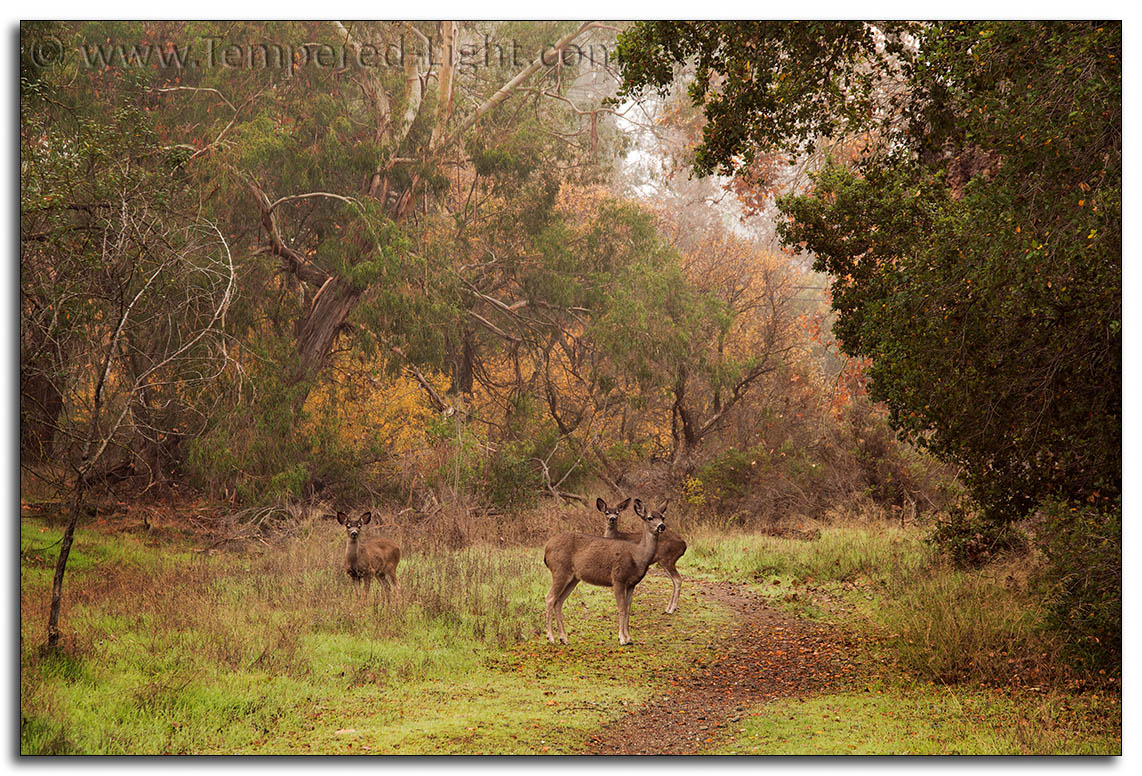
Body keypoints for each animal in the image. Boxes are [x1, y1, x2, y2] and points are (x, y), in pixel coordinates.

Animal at [541, 499, 666, 643]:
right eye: (650, 517)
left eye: (663, 517)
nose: (662, 526)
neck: (638, 556)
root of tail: (546, 548)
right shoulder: (618, 579)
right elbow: (621, 608)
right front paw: (622, 639)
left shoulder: (631, 584)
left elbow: (628, 609)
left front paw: (629, 638)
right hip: (559, 570)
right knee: (549, 598)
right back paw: (551, 638)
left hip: (573, 578)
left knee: (559, 602)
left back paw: (564, 639)